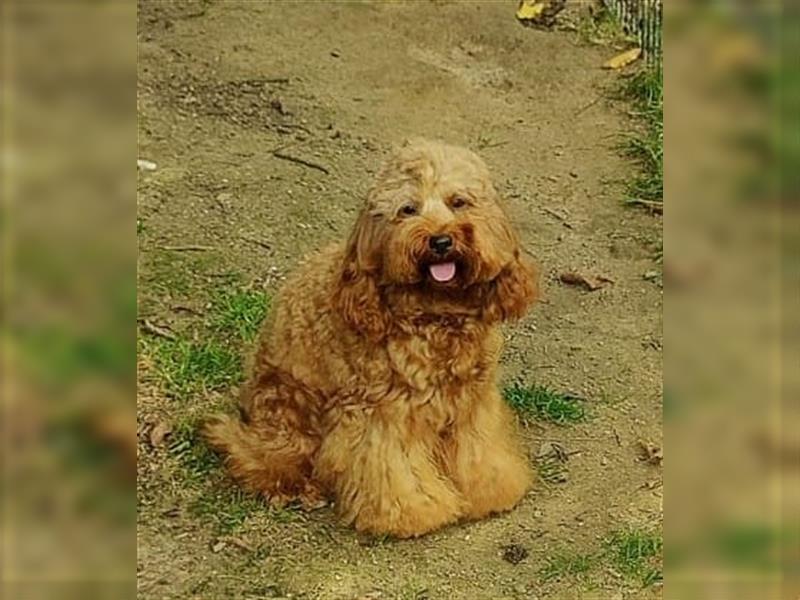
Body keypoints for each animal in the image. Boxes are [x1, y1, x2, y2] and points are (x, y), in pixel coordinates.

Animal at [206, 141, 540, 540]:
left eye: (458, 202)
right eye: (407, 209)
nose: (441, 240)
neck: (436, 311)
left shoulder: (472, 404)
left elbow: (478, 455)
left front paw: (488, 492)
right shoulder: (383, 414)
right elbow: (396, 471)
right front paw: (412, 514)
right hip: (287, 406)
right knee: (260, 456)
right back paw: (293, 486)